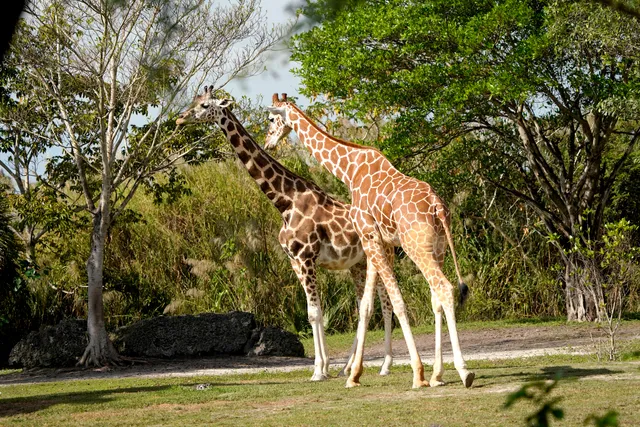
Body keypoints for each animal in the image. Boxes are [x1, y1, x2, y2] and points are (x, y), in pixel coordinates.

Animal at [176, 86, 395, 381]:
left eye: (204, 105)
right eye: (194, 101)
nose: (180, 118)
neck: (285, 202)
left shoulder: (306, 257)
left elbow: (314, 313)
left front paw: (319, 370)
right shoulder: (294, 260)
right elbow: (314, 312)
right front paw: (325, 367)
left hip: (379, 257)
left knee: (386, 304)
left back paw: (384, 365)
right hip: (357, 264)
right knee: (365, 304)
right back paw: (348, 368)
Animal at [266, 94, 475, 389]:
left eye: (272, 119)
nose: (268, 142)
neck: (349, 169)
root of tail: (438, 206)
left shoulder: (369, 236)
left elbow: (394, 302)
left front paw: (416, 374)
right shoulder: (373, 239)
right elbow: (365, 306)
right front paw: (354, 374)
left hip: (416, 247)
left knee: (444, 288)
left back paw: (463, 372)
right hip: (440, 248)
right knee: (435, 296)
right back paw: (438, 375)